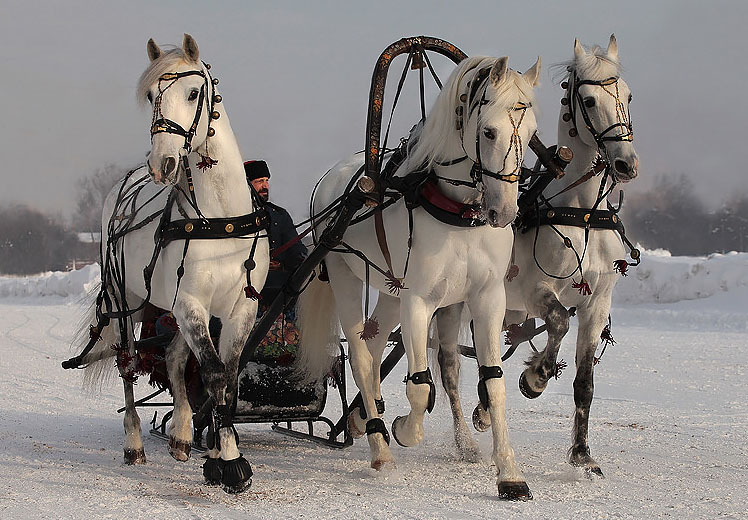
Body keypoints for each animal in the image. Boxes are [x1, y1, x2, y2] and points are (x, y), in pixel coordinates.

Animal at [72, 34, 268, 494]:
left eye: (194, 93)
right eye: (150, 96)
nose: (161, 164)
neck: (219, 218)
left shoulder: (240, 306)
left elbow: (227, 376)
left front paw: (217, 451)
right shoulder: (191, 302)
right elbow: (213, 374)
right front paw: (228, 461)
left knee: (177, 358)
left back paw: (180, 433)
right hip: (126, 299)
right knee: (128, 364)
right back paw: (134, 444)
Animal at [300, 53, 540, 500]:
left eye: (532, 132)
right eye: (489, 130)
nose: (504, 212)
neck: (459, 214)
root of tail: (330, 178)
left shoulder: (487, 297)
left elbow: (494, 383)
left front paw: (510, 473)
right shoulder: (419, 300)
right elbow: (420, 386)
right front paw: (404, 430)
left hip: (391, 290)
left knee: (373, 343)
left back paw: (368, 420)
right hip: (346, 275)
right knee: (361, 356)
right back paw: (380, 446)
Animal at [436, 34, 640, 478]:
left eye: (628, 95)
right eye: (589, 100)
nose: (626, 164)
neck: (582, 214)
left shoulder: (598, 302)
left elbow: (584, 382)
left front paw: (582, 455)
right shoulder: (536, 291)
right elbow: (559, 322)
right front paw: (536, 377)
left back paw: (482, 411)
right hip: (456, 302)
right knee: (450, 365)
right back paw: (465, 436)